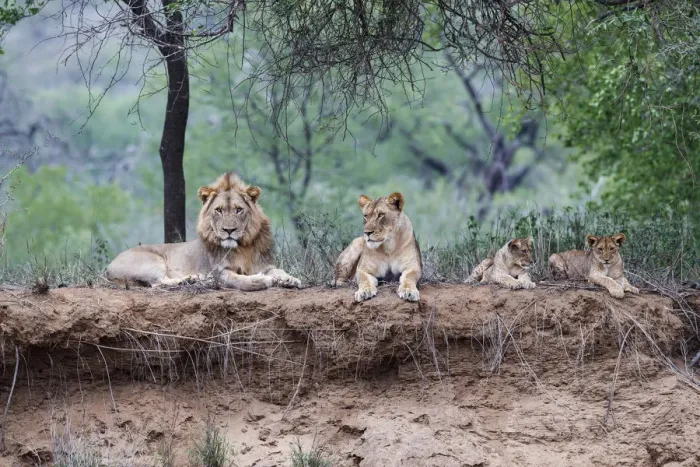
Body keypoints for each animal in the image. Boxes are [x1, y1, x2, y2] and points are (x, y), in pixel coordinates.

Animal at [105, 172, 301, 291]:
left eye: (239, 210)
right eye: (219, 210)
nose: (229, 230)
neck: (243, 246)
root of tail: (108, 266)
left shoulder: (265, 265)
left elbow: (279, 271)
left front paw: (290, 279)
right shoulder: (221, 272)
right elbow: (240, 280)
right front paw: (261, 280)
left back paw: (195, 279)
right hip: (153, 261)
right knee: (158, 283)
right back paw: (194, 280)